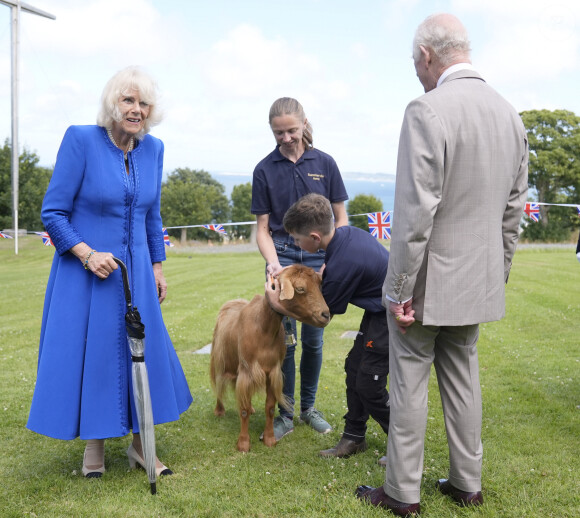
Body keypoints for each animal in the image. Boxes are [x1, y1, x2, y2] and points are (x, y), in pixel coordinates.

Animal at [210, 266, 328, 452]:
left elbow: (270, 408)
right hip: (220, 359)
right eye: (300, 288)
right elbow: (243, 410)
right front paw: (243, 444)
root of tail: (231, 302)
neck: (263, 328)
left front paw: (270, 439)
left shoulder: (273, 372)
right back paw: (219, 410)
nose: (326, 315)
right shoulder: (247, 370)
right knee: (218, 384)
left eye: (319, 286)